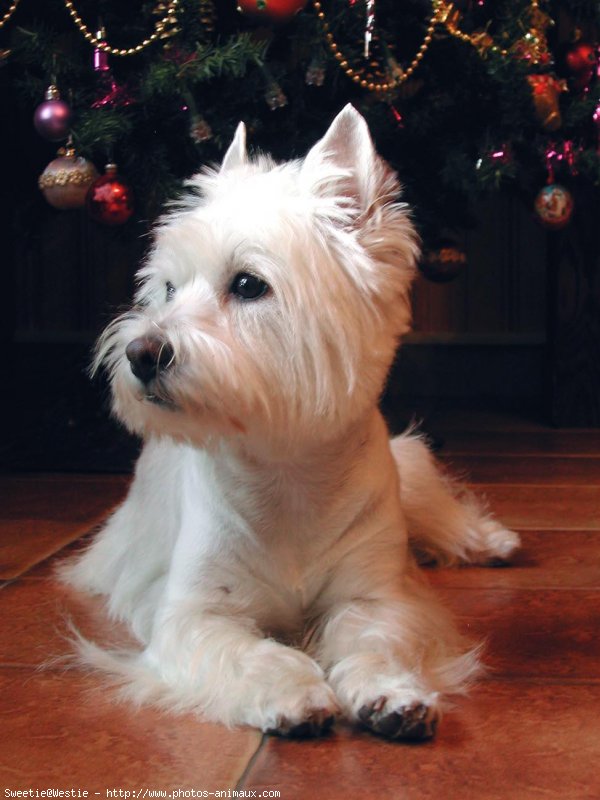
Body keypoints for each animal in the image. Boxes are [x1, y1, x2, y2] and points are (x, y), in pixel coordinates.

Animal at [62, 104, 520, 736]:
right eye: (168, 288)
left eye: (248, 284)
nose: (141, 353)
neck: (286, 473)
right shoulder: (194, 613)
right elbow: (246, 651)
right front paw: (291, 691)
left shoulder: (375, 597)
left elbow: (374, 639)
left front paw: (390, 694)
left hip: (407, 477)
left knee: (436, 507)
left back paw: (489, 540)